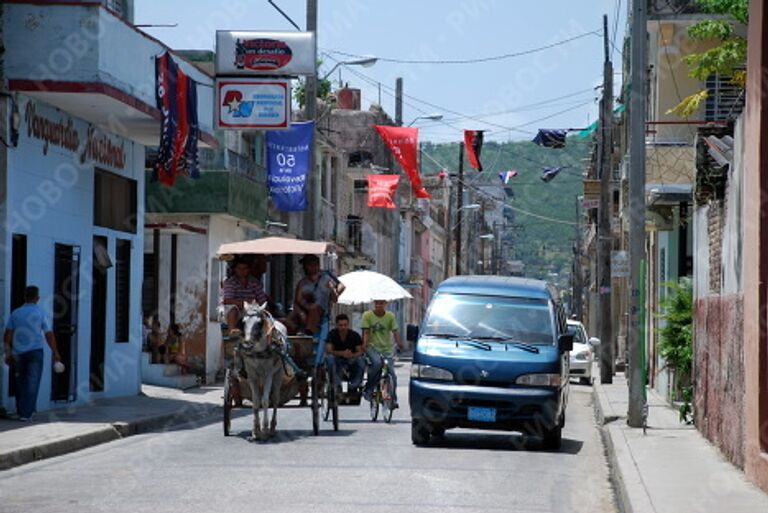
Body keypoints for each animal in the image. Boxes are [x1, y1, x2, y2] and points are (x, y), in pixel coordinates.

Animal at [242, 300, 286, 440]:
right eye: (243, 321)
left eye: (259, 323)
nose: (247, 343)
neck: (259, 351)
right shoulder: (252, 375)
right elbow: (256, 401)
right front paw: (256, 430)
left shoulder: (269, 374)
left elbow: (265, 400)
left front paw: (265, 429)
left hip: (278, 373)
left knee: (275, 398)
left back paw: (272, 428)